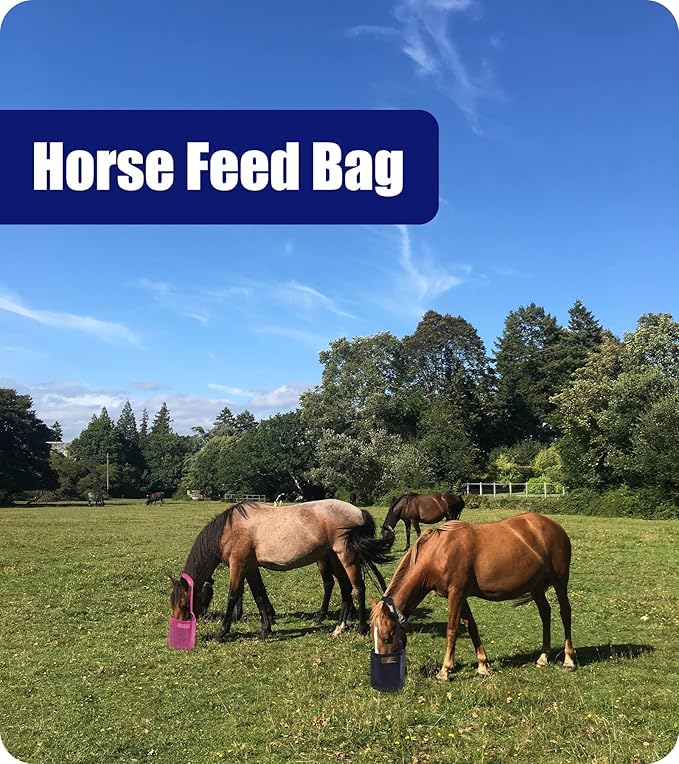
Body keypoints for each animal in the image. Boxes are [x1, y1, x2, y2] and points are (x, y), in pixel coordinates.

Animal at [170, 499, 392, 641]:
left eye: (183, 603)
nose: (180, 626)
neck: (229, 530)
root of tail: (359, 511)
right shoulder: (251, 567)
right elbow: (259, 595)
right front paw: (265, 630)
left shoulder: (238, 564)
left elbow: (232, 597)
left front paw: (221, 633)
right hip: (334, 558)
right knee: (345, 589)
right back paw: (339, 628)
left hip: (346, 556)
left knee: (358, 589)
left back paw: (361, 629)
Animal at [370, 513, 576, 680]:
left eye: (387, 637)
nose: (383, 671)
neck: (437, 553)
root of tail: (555, 527)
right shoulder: (460, 596)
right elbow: (472, 627)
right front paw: (482, 666)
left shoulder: (456, 593)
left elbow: (452, 630)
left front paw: (445, 670)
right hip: (536, 587)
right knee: (545, 613)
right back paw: (543, 656)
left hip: (559, 580)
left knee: (565, 612)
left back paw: (569, 660)